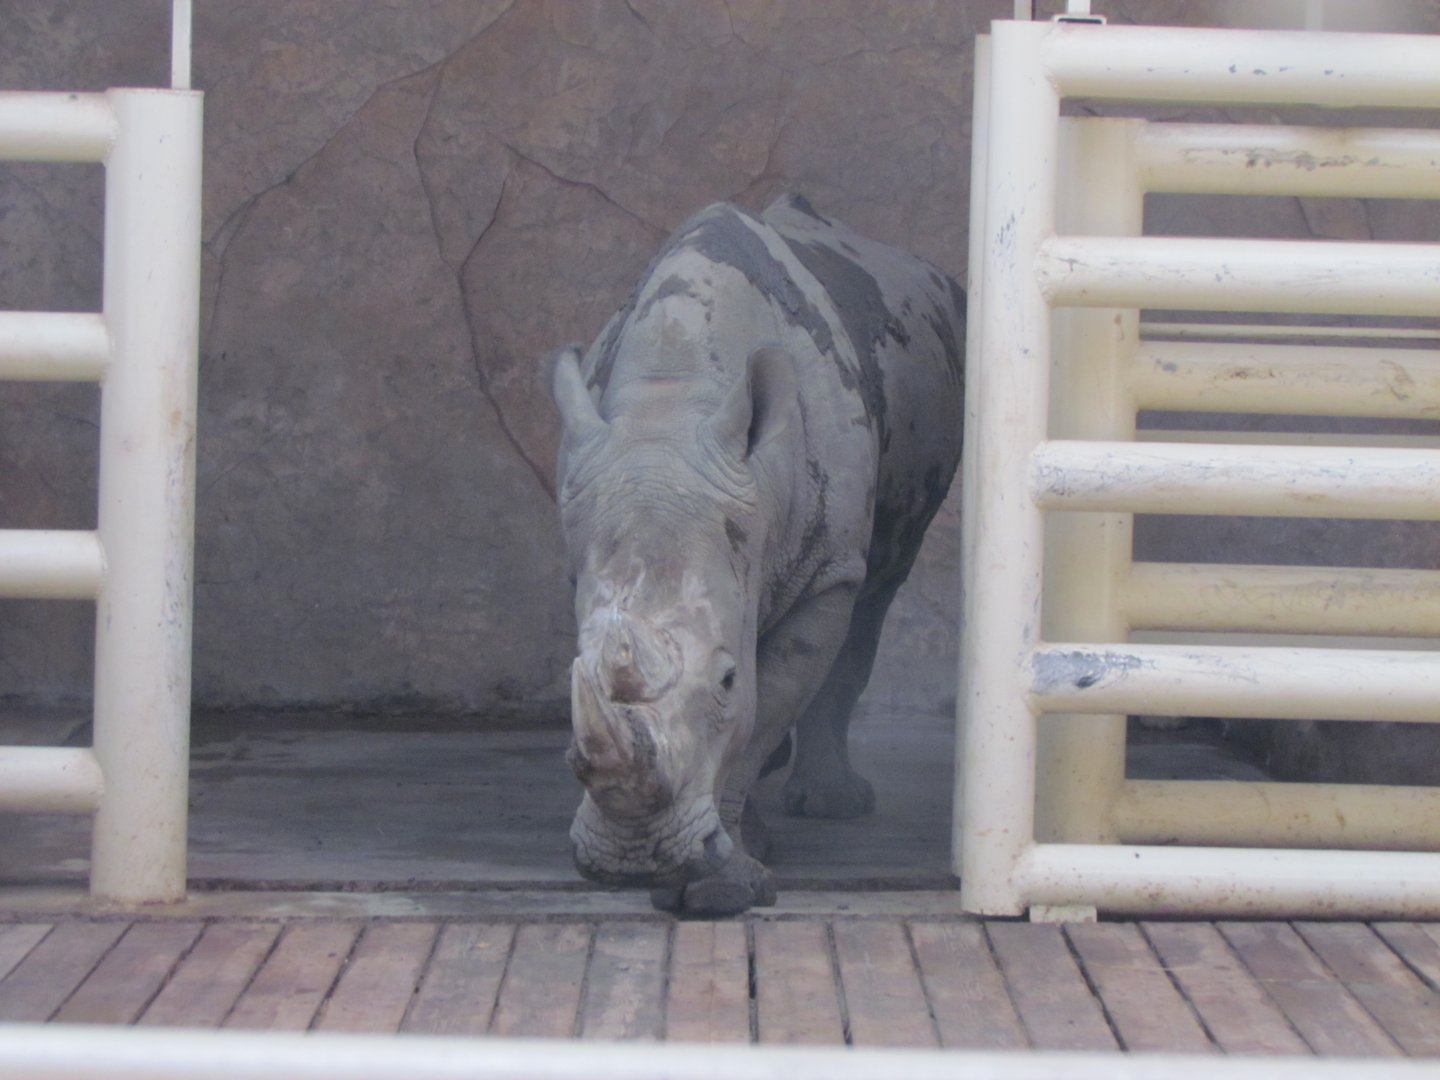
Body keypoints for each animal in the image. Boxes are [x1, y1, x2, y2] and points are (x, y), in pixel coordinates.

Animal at [552, 194, 963, 915]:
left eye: (725, 679)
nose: (631, 860)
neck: (672, 399)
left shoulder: (823, 573)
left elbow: (767, 702)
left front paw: (722, 887)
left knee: (876, 592)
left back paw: (832, 806)